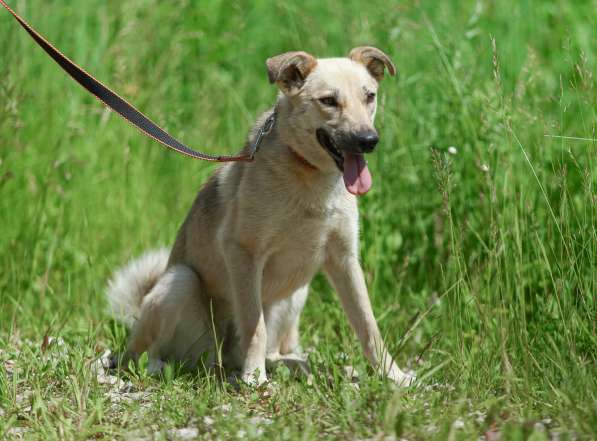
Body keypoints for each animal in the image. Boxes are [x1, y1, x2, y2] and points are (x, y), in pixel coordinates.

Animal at [106, 47, 414, 384]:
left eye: (369, 96)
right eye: (328, 101)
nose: (368, 140)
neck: (307, 173)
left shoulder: (344, 260)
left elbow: (368, 325)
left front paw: (393, 375)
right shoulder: (242, 251)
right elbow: (255, 327)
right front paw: (255, 378)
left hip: (296, 295)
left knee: (274, 351)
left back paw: (295, 365)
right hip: (181, 282)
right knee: (141, 354)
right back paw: (160, 365)